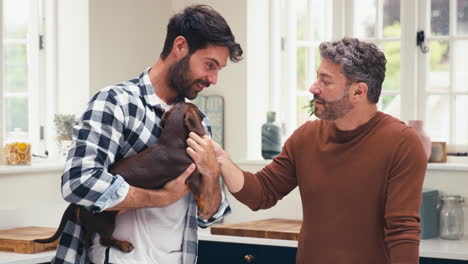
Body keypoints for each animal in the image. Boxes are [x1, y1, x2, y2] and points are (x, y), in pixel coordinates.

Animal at [36, 102, 210, 253]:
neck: (172, 141)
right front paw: (205, 208)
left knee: (89, 236)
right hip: (107, 220)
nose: (204, 114)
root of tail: (76, 204)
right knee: (104, 240)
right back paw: (124, 245)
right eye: (197, 108)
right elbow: (200, 191)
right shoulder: (191, 175)